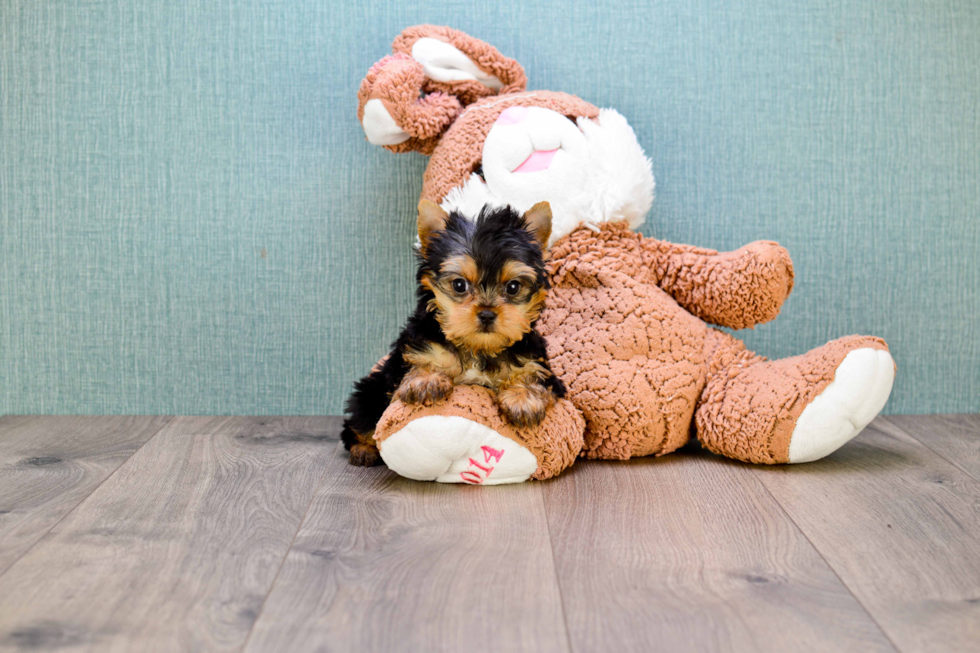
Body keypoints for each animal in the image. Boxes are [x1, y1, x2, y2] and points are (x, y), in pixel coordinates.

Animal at [340, 199, 564, 464]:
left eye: (513, 287)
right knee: (361, 422)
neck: (478, 348)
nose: (486, 314)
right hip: (370, 391)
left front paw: (523, 399)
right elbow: (425, 361)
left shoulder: (536, 361)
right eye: (459, 285)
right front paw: (426, 380)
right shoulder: (416, 347)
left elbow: (530, 374)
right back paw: (363, 449)